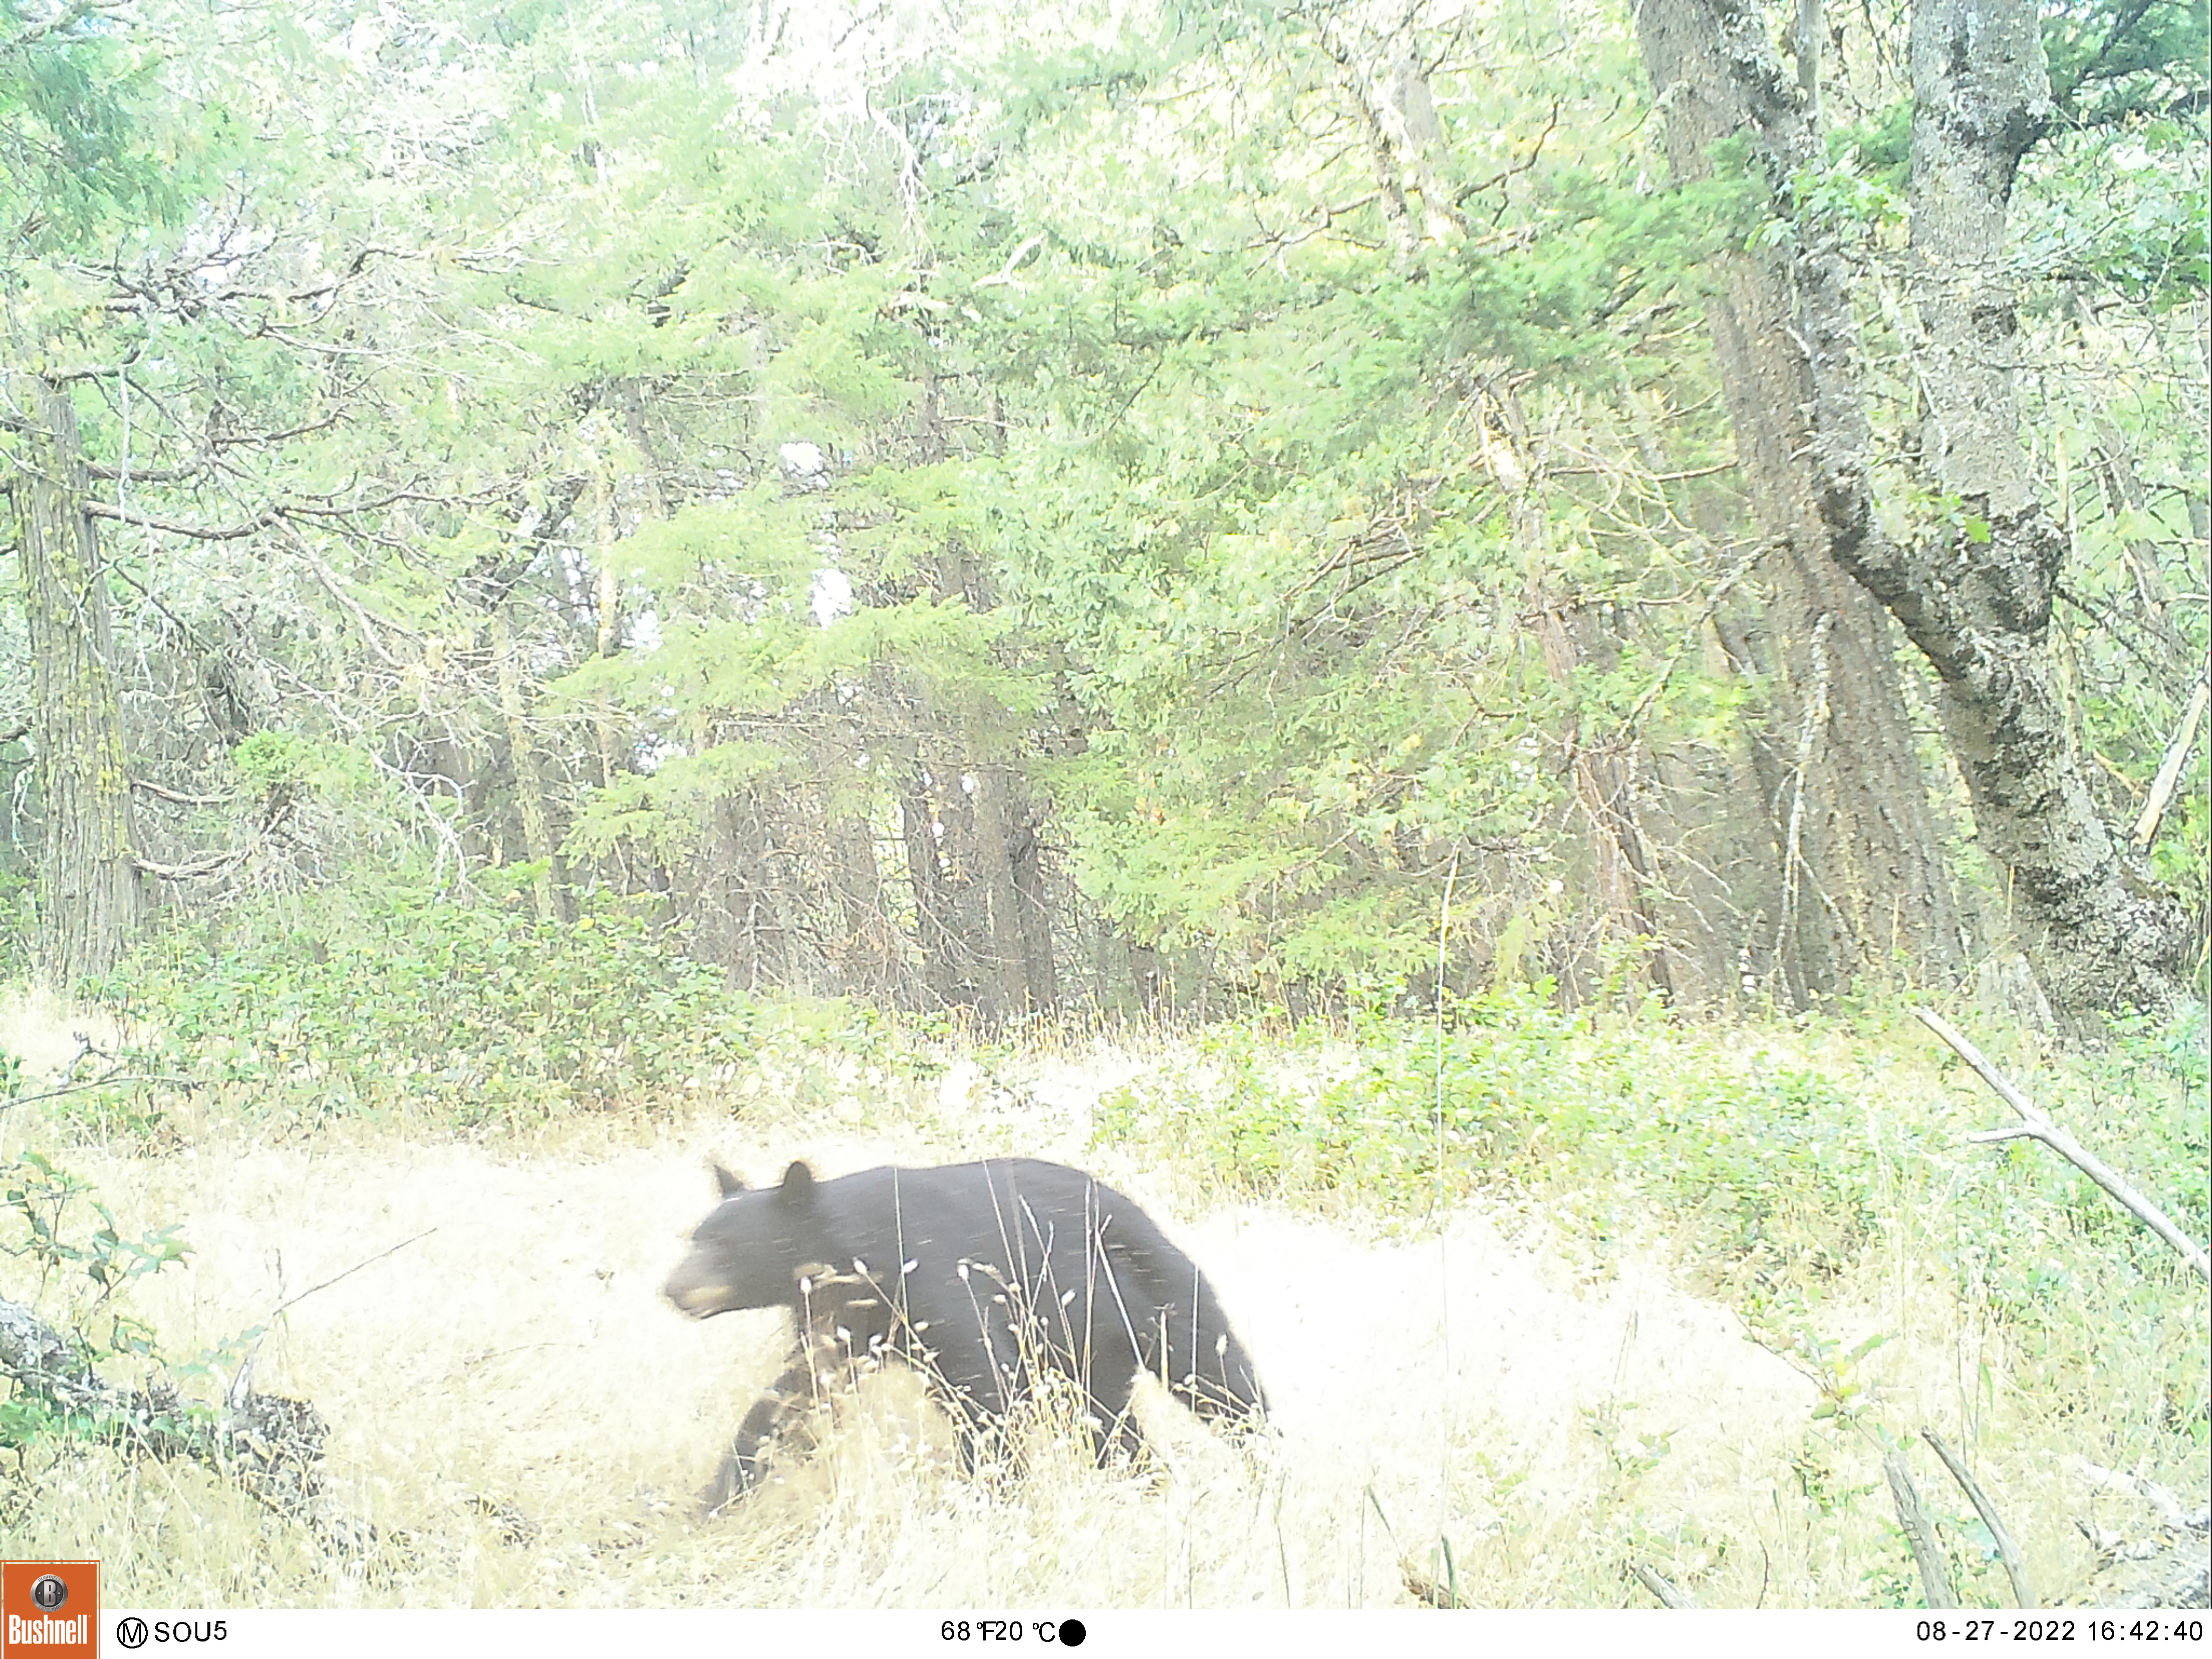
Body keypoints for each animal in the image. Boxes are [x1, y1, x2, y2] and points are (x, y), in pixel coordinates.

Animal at [663, 1156, 1266, 1511]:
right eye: (695, 1237)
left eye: (725, 1247)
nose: (672, 1288)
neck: (858, 1251)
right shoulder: (842, 1321)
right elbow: (794, 1392)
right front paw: (717, 1493)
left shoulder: (937, 1281)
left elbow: (983, 1386)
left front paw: (996, 1490)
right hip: (1092, 1351)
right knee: (1109, 1421)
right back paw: (1147, 1481)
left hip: (1154, 1294)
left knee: (1220, 1381)